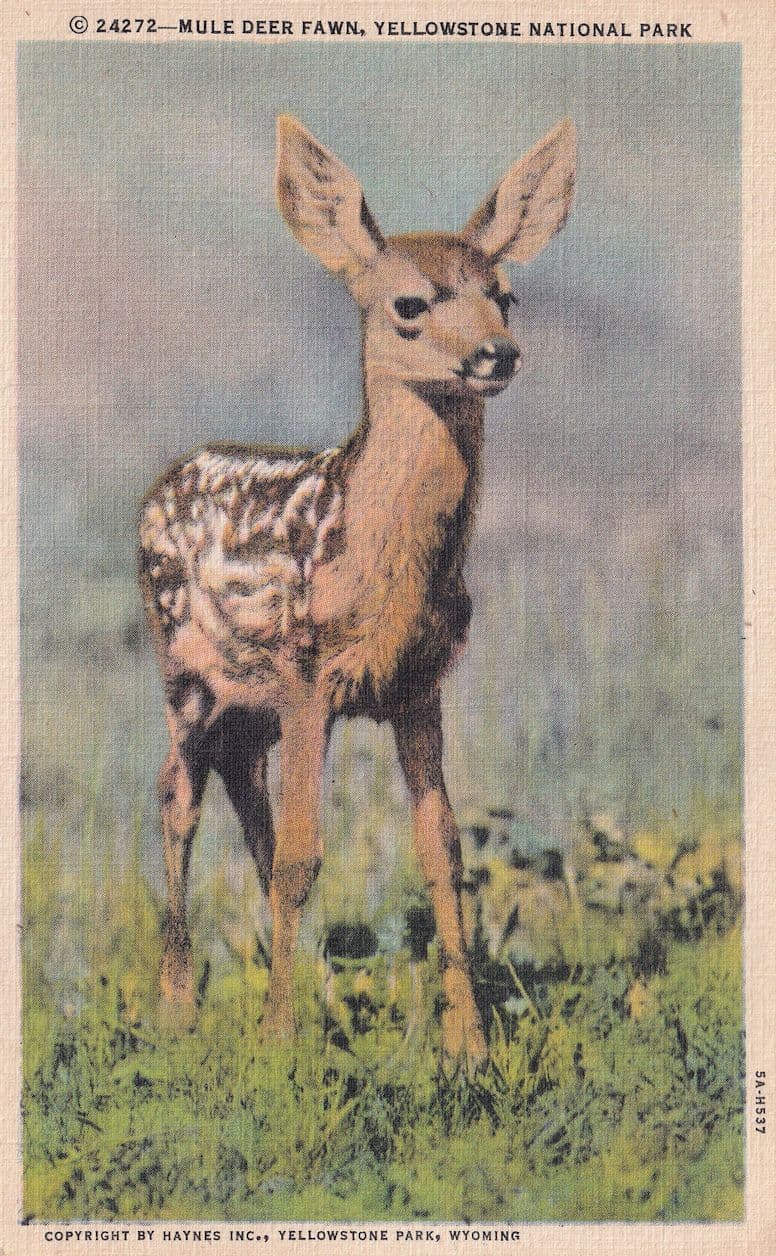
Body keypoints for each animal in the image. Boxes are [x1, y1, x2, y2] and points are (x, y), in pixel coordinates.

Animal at [138, 114, 576, 1067]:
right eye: (410, 304)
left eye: (506, 296)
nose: (497, 354)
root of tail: (166, 477)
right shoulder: (311, 676)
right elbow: (306, 856)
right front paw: (276, 1044)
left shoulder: (418, 687)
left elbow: (441, 853)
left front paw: (468, 1046)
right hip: (184, 673)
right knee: (178, 799)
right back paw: (181, 1014)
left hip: (249, 705)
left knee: (244, 798)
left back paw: (313, 1001)